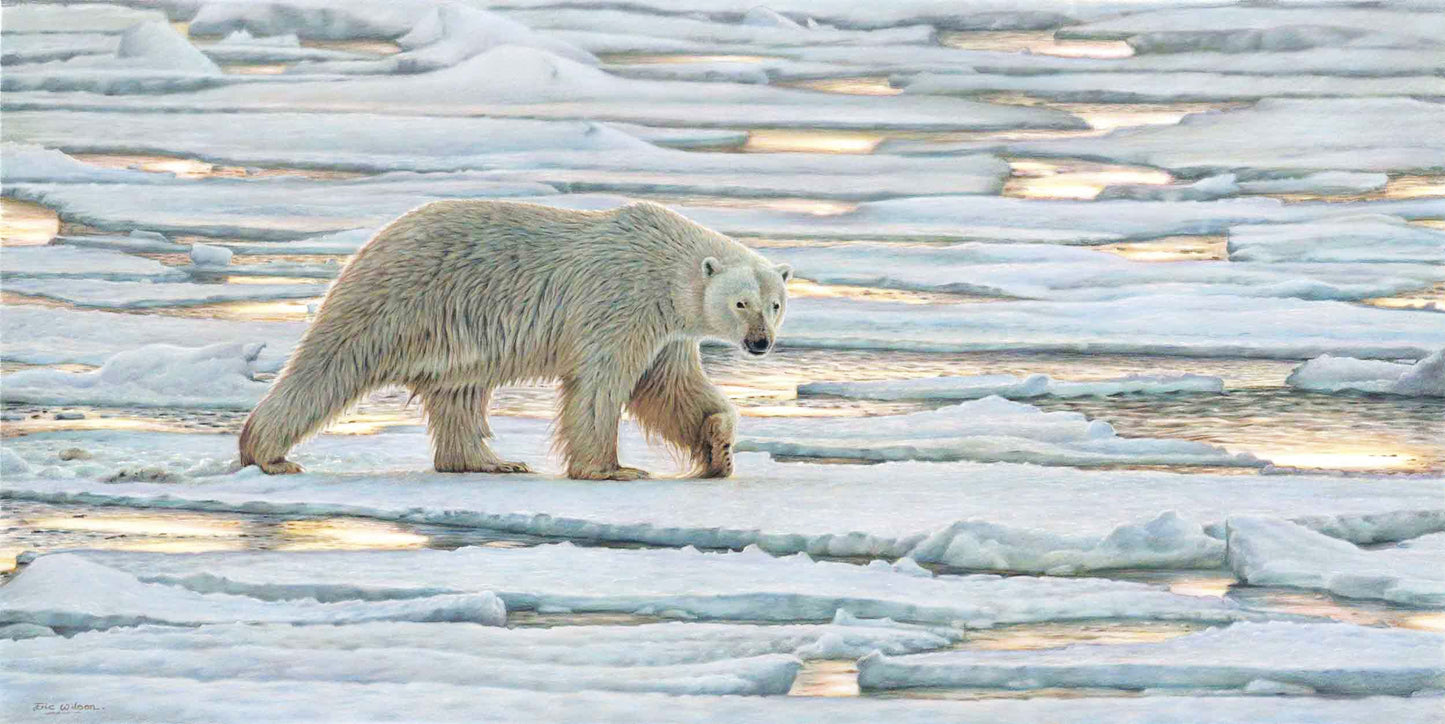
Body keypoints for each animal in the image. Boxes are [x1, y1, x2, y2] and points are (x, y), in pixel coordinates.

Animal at [238, 199, 791, 480]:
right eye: (741, 303)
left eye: (775, 303)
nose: (760, 342)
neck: (663, 265)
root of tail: (370, 244)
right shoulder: (619, 301)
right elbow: (600, 387)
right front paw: (612, 469)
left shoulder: (667, 331)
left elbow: (670, 390)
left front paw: (720, 447)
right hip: (399, 300)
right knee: (330, 367)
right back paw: (267, 454)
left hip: (453, 333)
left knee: (459, 392)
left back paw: (490, 461)